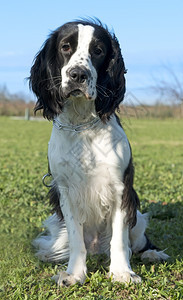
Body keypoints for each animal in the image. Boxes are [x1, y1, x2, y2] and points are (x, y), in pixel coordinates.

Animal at [29, 18, 169, 286]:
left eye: (98, 51)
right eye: (65, 47)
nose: (78, 75)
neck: (81, 125)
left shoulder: (121, 189)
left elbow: (119, 240)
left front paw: (122, 273)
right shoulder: (66, 192)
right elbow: (76, 239)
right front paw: (75, 274)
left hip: (138, 217)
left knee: (138, 242)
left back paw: (153, 254)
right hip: (57, 222)